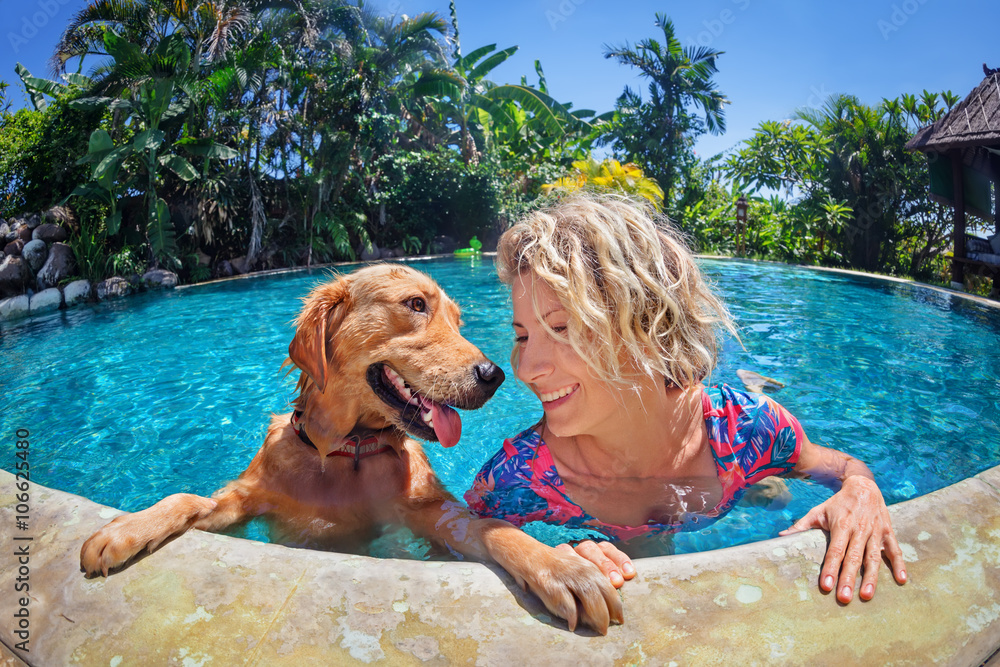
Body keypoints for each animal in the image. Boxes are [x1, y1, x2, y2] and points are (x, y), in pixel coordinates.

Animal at [80, 264, 624, 636]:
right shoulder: (244, 501)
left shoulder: (432, 513)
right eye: (415, 305)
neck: (345, 454)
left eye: (457, 320)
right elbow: (187, 499)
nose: (493, 376)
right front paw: (125, 529)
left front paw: (563, 567)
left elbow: (494, 529)